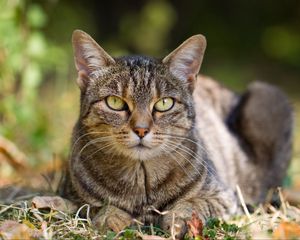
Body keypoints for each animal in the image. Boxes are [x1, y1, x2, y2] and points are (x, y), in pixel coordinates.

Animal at [59, 30, 292, 238]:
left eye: (164, 103)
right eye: (115, 102)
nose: (141, 129)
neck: (142, 181)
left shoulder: (223, 197)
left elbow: (193, 204)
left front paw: (180, 218)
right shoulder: (70, 195)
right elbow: (95, 206)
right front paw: (113, 218)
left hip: (266, 96)